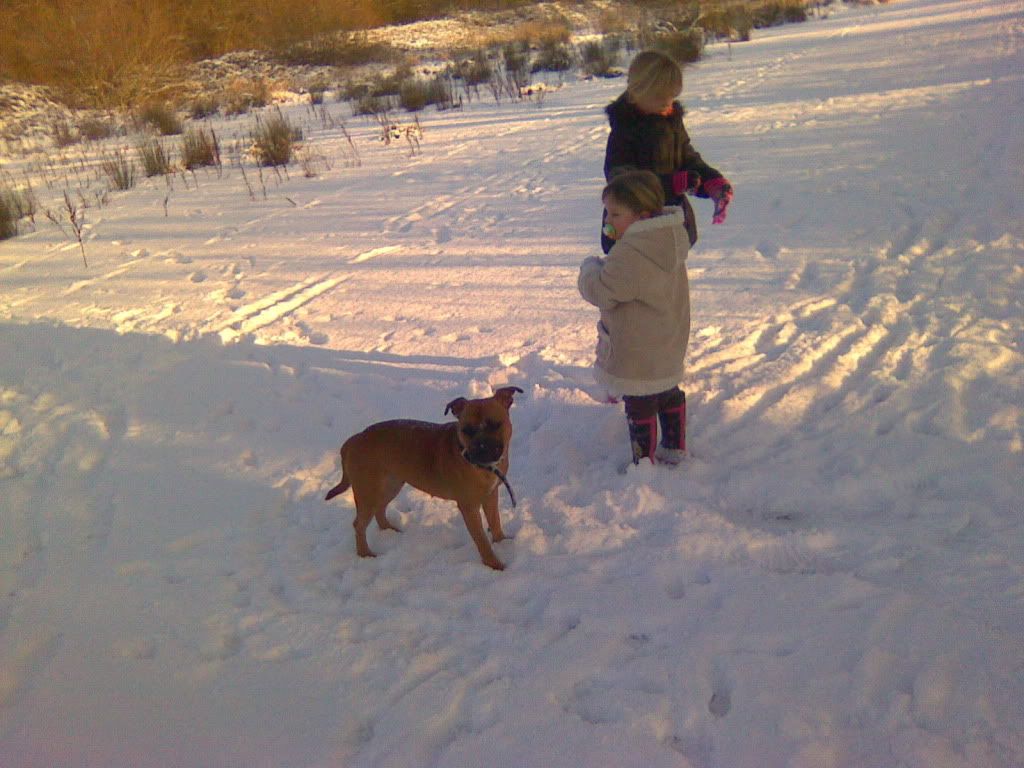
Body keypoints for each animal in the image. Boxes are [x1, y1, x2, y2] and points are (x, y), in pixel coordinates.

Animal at [325, 387, 524, 569]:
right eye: (466, 430)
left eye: (495, 425)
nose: (481, 448)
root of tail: (353, 440)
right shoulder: (469, 507)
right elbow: (481, 539)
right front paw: (495, 565)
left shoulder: (491, 495)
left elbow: (495, 521)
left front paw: (502, 542)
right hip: (368, 492)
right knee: (359, 524)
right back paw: (365, 554)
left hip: (390, 485)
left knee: (380, 509)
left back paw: (390, 531)